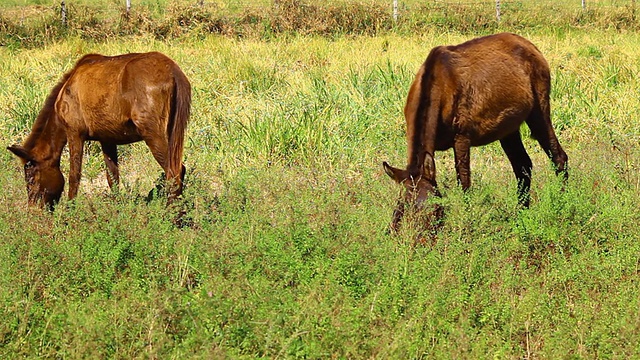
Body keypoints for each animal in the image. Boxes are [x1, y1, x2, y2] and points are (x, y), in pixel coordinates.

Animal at [7, 51, 191, 208]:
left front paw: (70, 211)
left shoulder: (74, 134)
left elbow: (74, 176)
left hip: (152, 134)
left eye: (31, 178)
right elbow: (112, 177)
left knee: (174, 172)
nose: (33, 211)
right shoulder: (107, 140)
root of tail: (172, 70)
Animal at [382, 33, 568, 231]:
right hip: (508, 129)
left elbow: (464, 182)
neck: (437, 87)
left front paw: (467, 223)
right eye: (402, 210)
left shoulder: (462, 137)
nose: (418, 238)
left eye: (435, 209)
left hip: (538, 111)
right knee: (523, 165)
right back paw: (521, 215)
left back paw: (562, 204)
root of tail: (532, 47)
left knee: (558, 157)